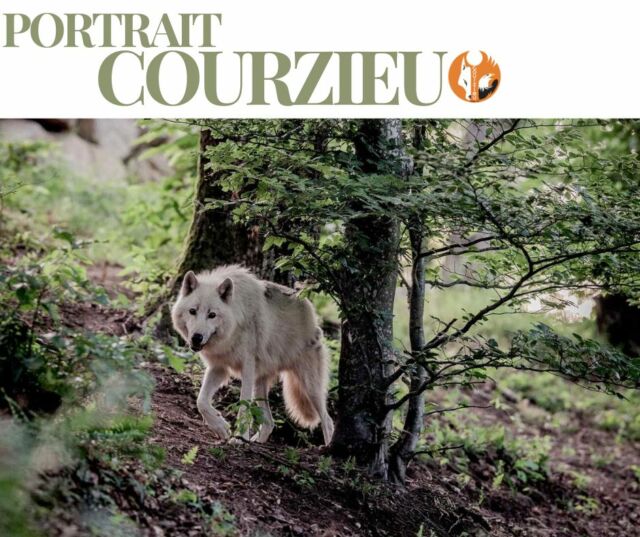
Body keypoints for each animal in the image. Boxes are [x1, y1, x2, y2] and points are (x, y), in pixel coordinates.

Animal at [171, 265, 334, 445]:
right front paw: (221, 427)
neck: (233, 328)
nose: (196, 337)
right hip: (260, 384)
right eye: (192, 311)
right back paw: (257, 441)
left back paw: (328, 448)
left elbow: (243, 404)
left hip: (309, 387)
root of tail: (308, 305)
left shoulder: (247, 367)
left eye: (212, 315)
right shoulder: (219, 368)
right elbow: (201, 401)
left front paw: (240, 438)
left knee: (328, 421)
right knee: (270, 422)